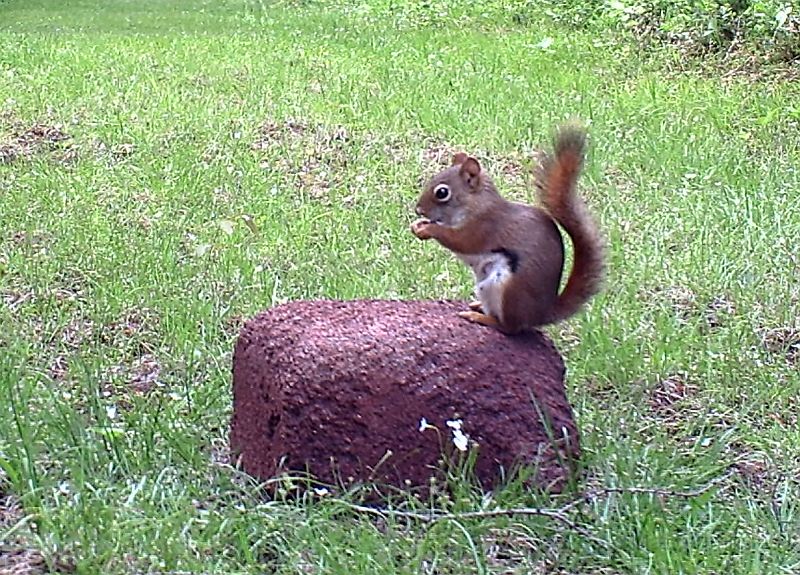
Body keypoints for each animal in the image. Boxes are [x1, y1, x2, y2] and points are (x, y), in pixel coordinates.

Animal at [412, 124, 608, 336]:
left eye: (442, 192)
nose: (418, 210)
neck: (476, 205)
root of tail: (540, 315)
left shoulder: (483, 228)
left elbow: (459, 240)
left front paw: (427, 229)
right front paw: (418, 225)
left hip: (506, 289)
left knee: (509, 328)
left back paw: (480, 318)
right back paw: (479, 308)